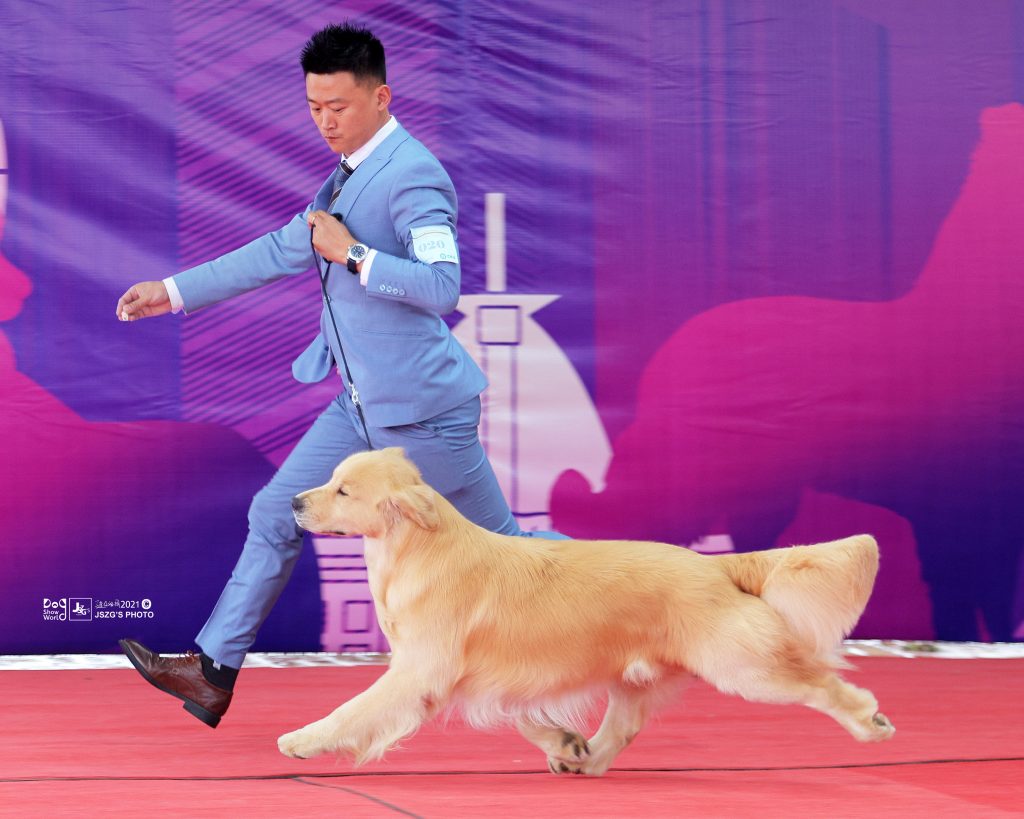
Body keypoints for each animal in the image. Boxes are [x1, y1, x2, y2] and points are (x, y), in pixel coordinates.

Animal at [279, 447, 894, 774]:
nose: (293, 501)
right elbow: (525, 717)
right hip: (635, 677)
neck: (418, 547)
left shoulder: (420, 671)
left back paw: (870, 724)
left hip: (746, 667)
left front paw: (302, 740)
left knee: (822, 685)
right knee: (620, 731)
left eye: (343, 490)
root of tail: (715, 566)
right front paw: (562, 742)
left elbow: (354, 710)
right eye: (331, 480)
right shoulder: (483, 677)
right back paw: (581, 759)